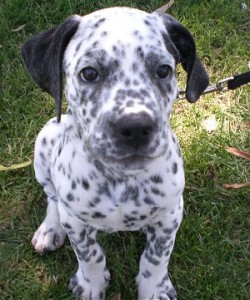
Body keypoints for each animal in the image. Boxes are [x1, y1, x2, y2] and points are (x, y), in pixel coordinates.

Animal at [22, 7, 209, 300]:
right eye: (89, 73)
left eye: (163, 70)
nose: (135, 127)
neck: (121, 178)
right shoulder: (76, 223)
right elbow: (90, 255)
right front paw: (91, 284)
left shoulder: (170, 216)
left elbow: (156, 257)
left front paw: (154, 289)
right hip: (44, 141)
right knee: (52, 196)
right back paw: (50, 229)